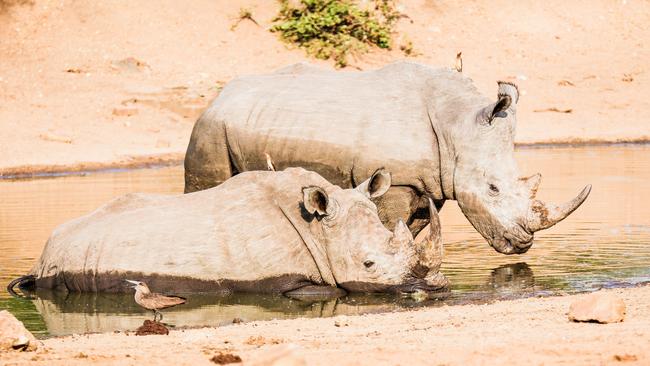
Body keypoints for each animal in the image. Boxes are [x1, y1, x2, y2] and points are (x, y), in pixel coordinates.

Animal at [8, 167, 446, 296]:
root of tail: (44, 254)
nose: (432, 289)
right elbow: (332, 290)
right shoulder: (282, 280)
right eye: (368, 264)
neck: (319, 229)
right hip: (72, 264)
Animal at [185, 60, 588, 254]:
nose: (523, 244)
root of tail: (219, 96)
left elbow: (413, 227)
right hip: (209, 128)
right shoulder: (395, 181)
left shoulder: (431, 183)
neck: (456, 125)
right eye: (492, 188)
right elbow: (390, 223)